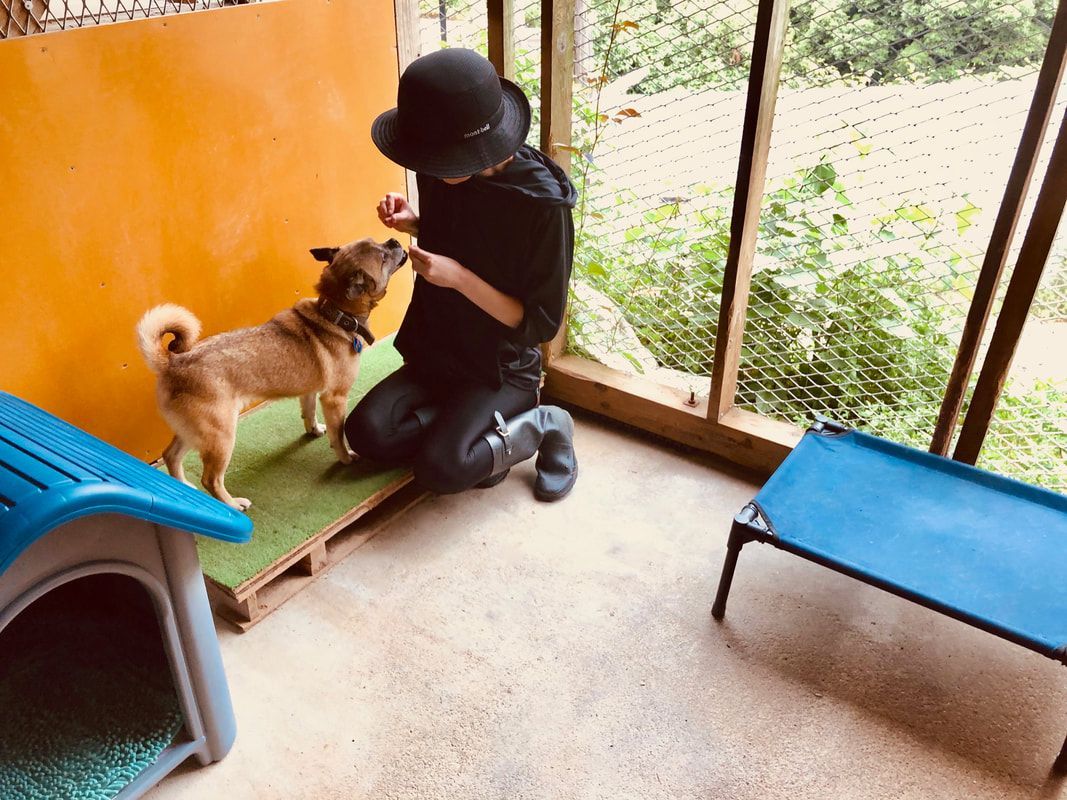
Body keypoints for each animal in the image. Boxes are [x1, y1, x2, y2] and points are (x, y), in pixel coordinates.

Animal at [139, 240, 405, 514]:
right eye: (383, 257)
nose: (394, 241)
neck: (332, 313)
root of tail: (172, 361)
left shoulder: (310, 392)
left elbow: (309, 413)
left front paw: (314, 430)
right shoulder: (335, 398)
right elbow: (338, 435)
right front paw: (345, 457)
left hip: (191, 432)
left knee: (171, 456)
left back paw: (186, 489)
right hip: (220, 436)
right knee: (210, 479)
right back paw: (232, 504)